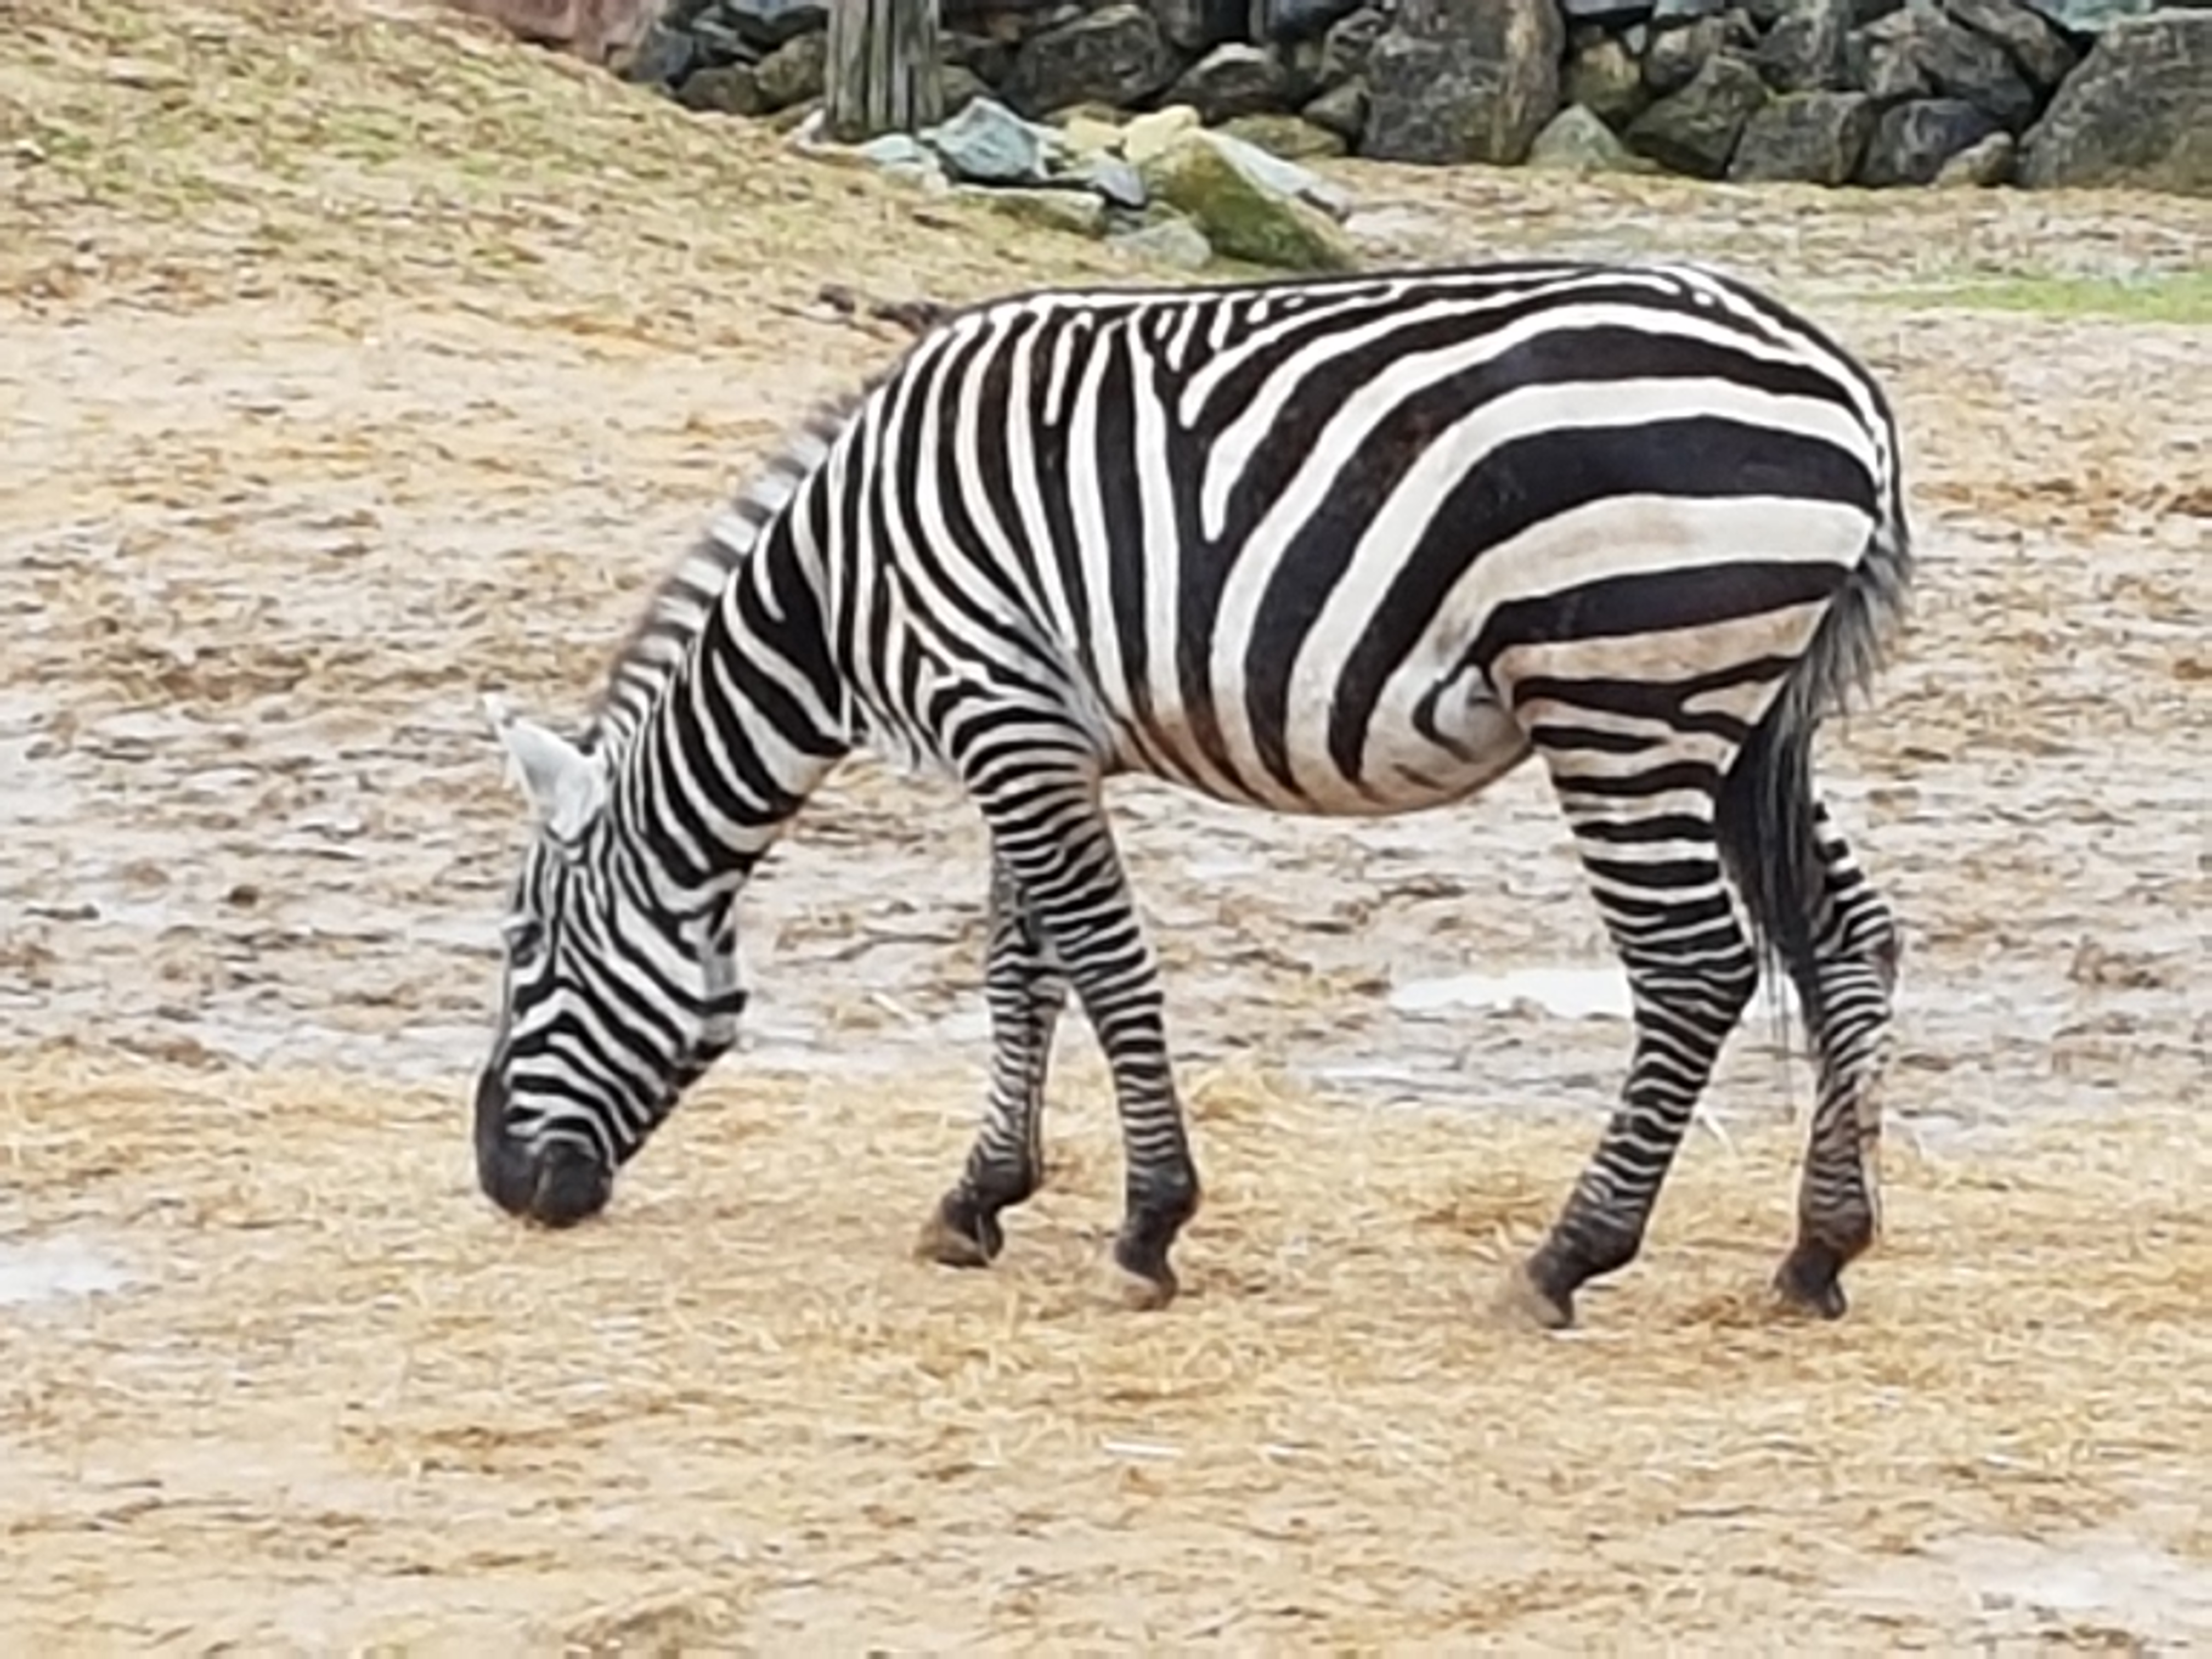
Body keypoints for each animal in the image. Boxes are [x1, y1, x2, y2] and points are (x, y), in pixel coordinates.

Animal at [473, 258, 1911, 1329]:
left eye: (524, 951)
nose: (499, 1182)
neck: (833, 587)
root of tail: (1847, 383)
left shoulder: (998, 708)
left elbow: (1100, 963)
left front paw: (1148, 1224)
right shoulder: (1032, 732)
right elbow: (1022, 968)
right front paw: (981, 1199)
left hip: (1621, 697)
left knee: (1694, 968)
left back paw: (1566, 1258)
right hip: (1740, 716)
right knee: (1854, 937)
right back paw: (1820, 1251)